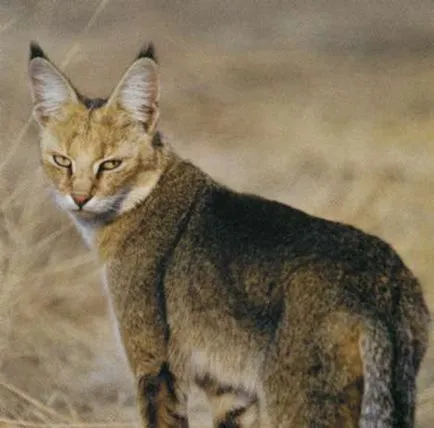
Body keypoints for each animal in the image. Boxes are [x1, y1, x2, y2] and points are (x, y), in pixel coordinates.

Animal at [28, 41, 430, 428]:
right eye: (62, 161)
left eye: (111, 164)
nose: (80, 198)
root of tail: (383, 282)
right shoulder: (231, 389)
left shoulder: (154, 365)